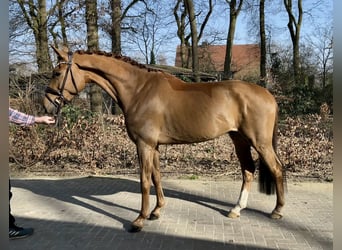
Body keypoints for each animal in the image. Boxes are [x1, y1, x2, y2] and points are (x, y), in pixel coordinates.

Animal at [44, 47, 286, 232]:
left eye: (57, 72)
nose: (46, 105)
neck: (139, 90)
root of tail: (268, 94)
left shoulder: (144, 145)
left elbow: (144, 181)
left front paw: (139, 220)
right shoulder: (155, 146)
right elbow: (156, 177)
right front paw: (157, 210)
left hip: (260, 143)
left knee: (276, 169)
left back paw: (277, 210)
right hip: (239, 140)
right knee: (248, 170)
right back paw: (236, 209)